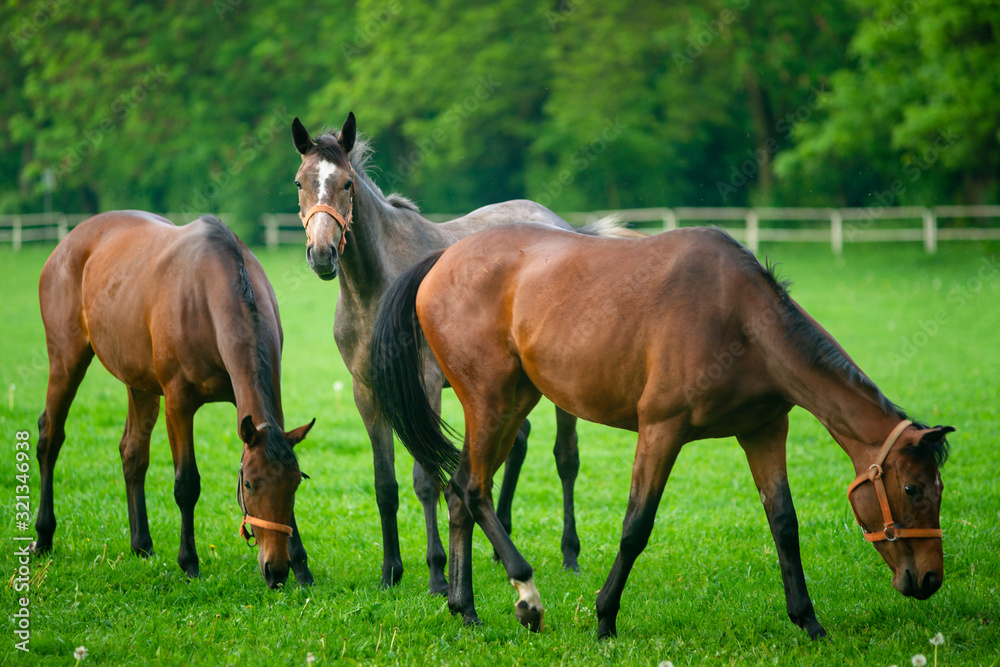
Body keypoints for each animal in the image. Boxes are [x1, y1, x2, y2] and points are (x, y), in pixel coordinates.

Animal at [35, 210, 314, 588]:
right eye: (250, 485)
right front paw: (189, 562)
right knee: (50, 438)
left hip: (139, 384)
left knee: (132, 452)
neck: (207, 297)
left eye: (295, 483)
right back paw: (43, 536)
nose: (277, 570)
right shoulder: (179, 403)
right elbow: (186, 484)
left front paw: (302, 567)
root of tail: (65, 243)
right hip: (67, 360)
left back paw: (141, 544)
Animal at [292, 113, 632, 596]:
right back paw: (500, 540)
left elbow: (426, 478)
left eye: (347, 183)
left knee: (566, 458)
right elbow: (385, 484)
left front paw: (437, 573)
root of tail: (564, 226)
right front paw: (390, 572)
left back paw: (570, 553)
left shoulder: (425, 387)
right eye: (300, 182)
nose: (321, 255)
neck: (376, 290)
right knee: (519, 441)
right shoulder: (367, 392)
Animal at [372, 226, 956, 640]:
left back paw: (465, 608)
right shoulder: (660, 431)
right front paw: (605, 617)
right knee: (472, 490)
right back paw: (527, 596)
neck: (740, 317)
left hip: (513, 402)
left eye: (938, 489)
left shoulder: (765, 432)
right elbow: (637, 526)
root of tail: (442, 260)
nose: (930, 580)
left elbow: (784, 525)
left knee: (459, 493)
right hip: (491, 403)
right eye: (911, 489)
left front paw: (808, 621)